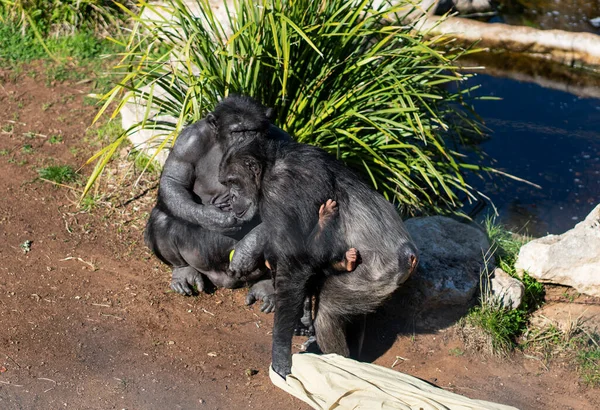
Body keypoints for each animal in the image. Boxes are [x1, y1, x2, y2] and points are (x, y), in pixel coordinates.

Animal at [143, 94, 288, 310]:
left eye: (251, 131)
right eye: (237, 131)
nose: (244, 140)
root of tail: (224, 281)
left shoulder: (284, 141)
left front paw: (248, 248)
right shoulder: (188, 141)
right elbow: (173, 181)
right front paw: (215, 219)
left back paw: (266, 289)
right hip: (199, 259)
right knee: (162, 217)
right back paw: (184, 272)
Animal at [218, 137, 420, 378]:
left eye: (233, 182)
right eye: (226, 183)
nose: (230, 198)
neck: (270, 167)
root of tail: (410, 256)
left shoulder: (281, 190)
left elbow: (295, 265)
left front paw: (280, 354)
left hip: (374, 276)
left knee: (328, 314)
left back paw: (336, 362)